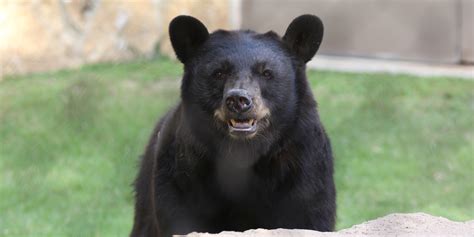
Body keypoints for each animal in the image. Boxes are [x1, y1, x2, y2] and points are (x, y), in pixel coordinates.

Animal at [131, 15, 336, 237]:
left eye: (266, 73)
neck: (242, 153)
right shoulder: (181, 175)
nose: (238, 100)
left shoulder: (303, 165)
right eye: (219, 72)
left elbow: (306, 215)